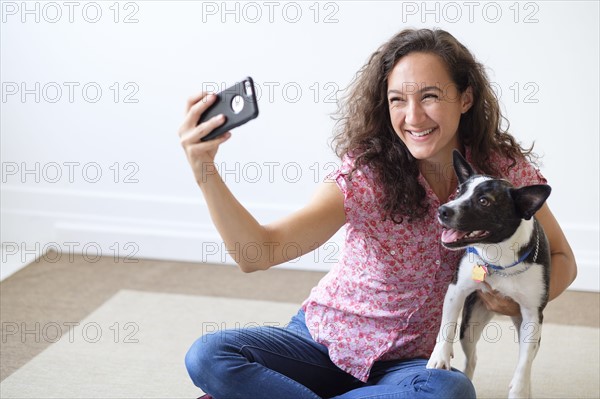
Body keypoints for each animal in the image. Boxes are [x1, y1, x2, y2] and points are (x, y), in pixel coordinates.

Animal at [426, 151, 552, 399]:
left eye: (484, 201)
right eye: (459, 192)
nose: (443, 209)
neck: (499, 258)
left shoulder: (533, 315)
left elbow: (523, 366)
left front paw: (520, 390)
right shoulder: (456, 290)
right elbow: (447, 326)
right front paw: (439, 357)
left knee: (528, 359)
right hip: (470, 324)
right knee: (472, 358)